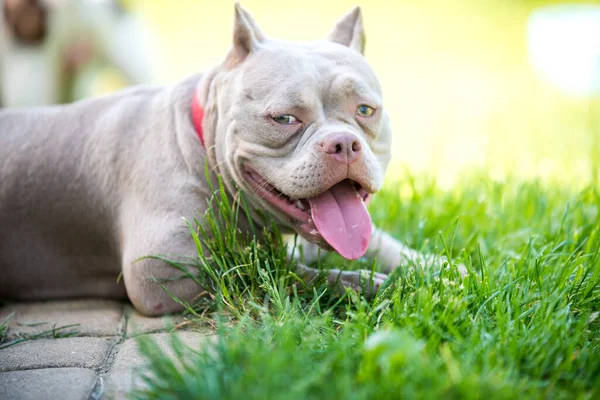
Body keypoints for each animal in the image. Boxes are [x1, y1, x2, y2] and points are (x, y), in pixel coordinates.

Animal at [1, 3, 440, 316]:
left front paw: (439, 268)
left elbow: (387, 245)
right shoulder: (162, 271)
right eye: (284, 119)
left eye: (365, 110)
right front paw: (374, 283)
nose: (344, 144)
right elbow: (275, 275)